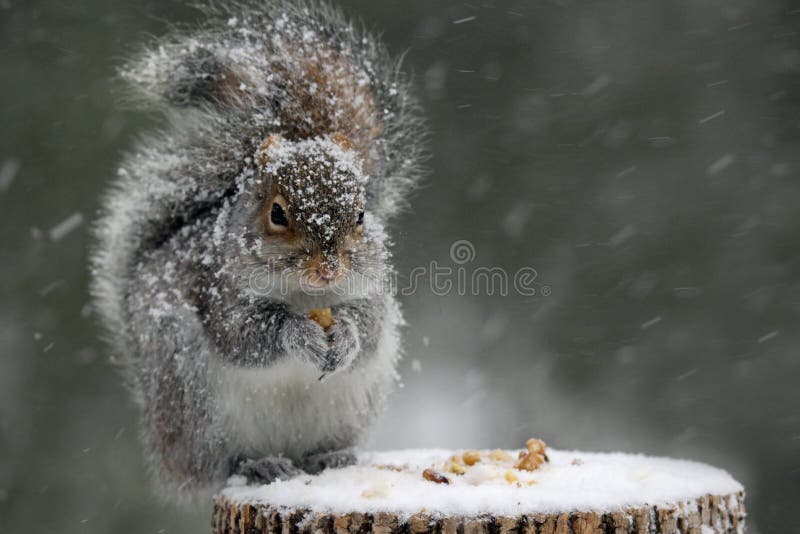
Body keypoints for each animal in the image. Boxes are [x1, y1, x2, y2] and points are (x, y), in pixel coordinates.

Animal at [91, 0, 428, 500]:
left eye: (362, 214)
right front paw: (298, 334)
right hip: (194, 407)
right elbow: (244, 335)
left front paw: (346, 335)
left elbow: (367, 329)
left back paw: (331, 457)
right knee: (216, 466)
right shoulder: (216, 291)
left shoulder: (372, 292)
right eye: (278, 213)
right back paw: (257, 465)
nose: (328, 269)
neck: (306, 296)